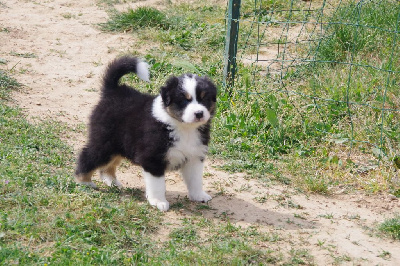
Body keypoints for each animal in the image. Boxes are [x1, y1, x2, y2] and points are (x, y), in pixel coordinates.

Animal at [76, 56, 217, 212]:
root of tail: (113, 91)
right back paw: (84, 182)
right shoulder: (153, 158)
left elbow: (195, 179)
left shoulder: (194, 156)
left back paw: (112, 182)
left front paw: (199, 196)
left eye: (204, 99)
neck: (184, 127)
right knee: (88, 156)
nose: (199, 113)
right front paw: (159, 202)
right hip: (105, 142)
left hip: (119, 144)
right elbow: (158, 185)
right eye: (184, 100)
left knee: (108, 165)